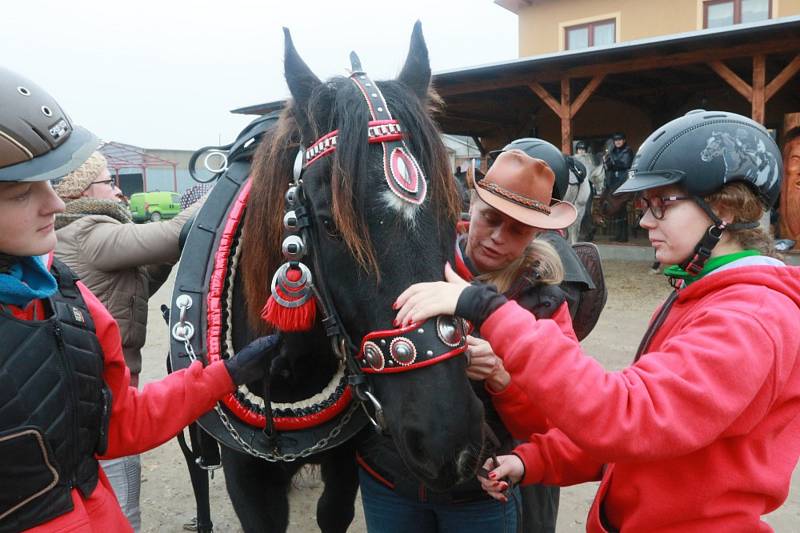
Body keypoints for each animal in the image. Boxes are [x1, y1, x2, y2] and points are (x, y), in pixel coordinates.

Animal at [211, 22, 482, 528]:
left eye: (455, 207)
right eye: (330, 222)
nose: (446, 441)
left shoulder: (344, 465)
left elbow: (332, 510)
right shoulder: (246, 479)